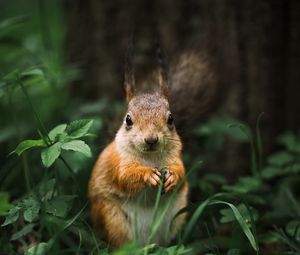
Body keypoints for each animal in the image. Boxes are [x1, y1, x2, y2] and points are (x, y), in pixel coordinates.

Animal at [88, 49, 217, 247]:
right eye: (128, 119)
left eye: (171, 118)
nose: (151, 139)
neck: (150, 158)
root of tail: (148, 241)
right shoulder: (118, 161)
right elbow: (125, 177)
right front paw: (147, 175)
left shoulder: (176, 155)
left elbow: (181, 170)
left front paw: (172, 177)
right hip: (112, 218)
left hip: (175, 218)